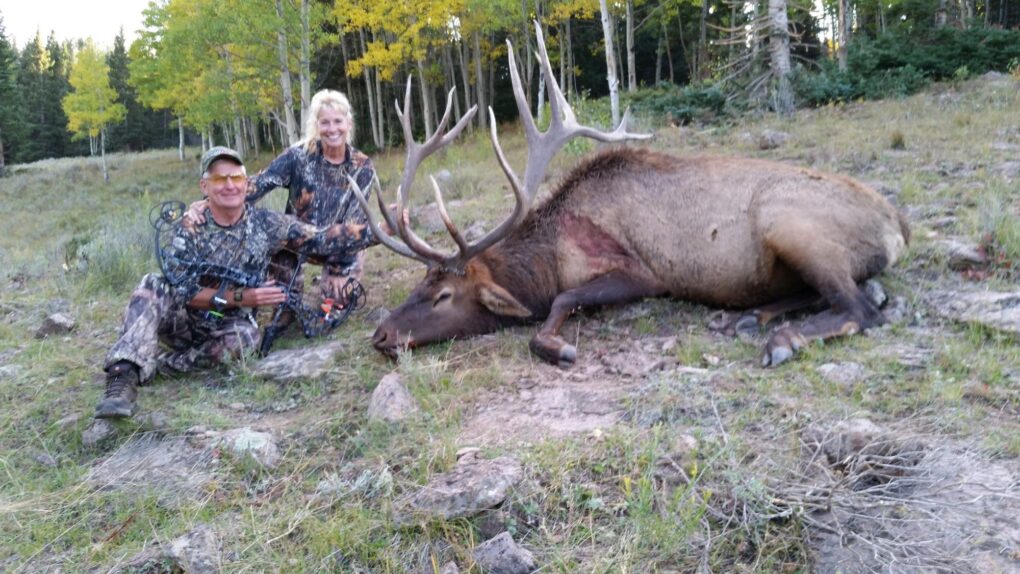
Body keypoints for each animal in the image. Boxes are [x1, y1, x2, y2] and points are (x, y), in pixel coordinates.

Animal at [350, 23, 910, 369]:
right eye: (419, 283)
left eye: (443, 295)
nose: (380, 335)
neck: (548, 260)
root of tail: (900, 226)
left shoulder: (641, 272)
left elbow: (564, 301)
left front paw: (558, 346)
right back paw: (756, 315)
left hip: (788, 222)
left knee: (862, 309)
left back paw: (782, 339)